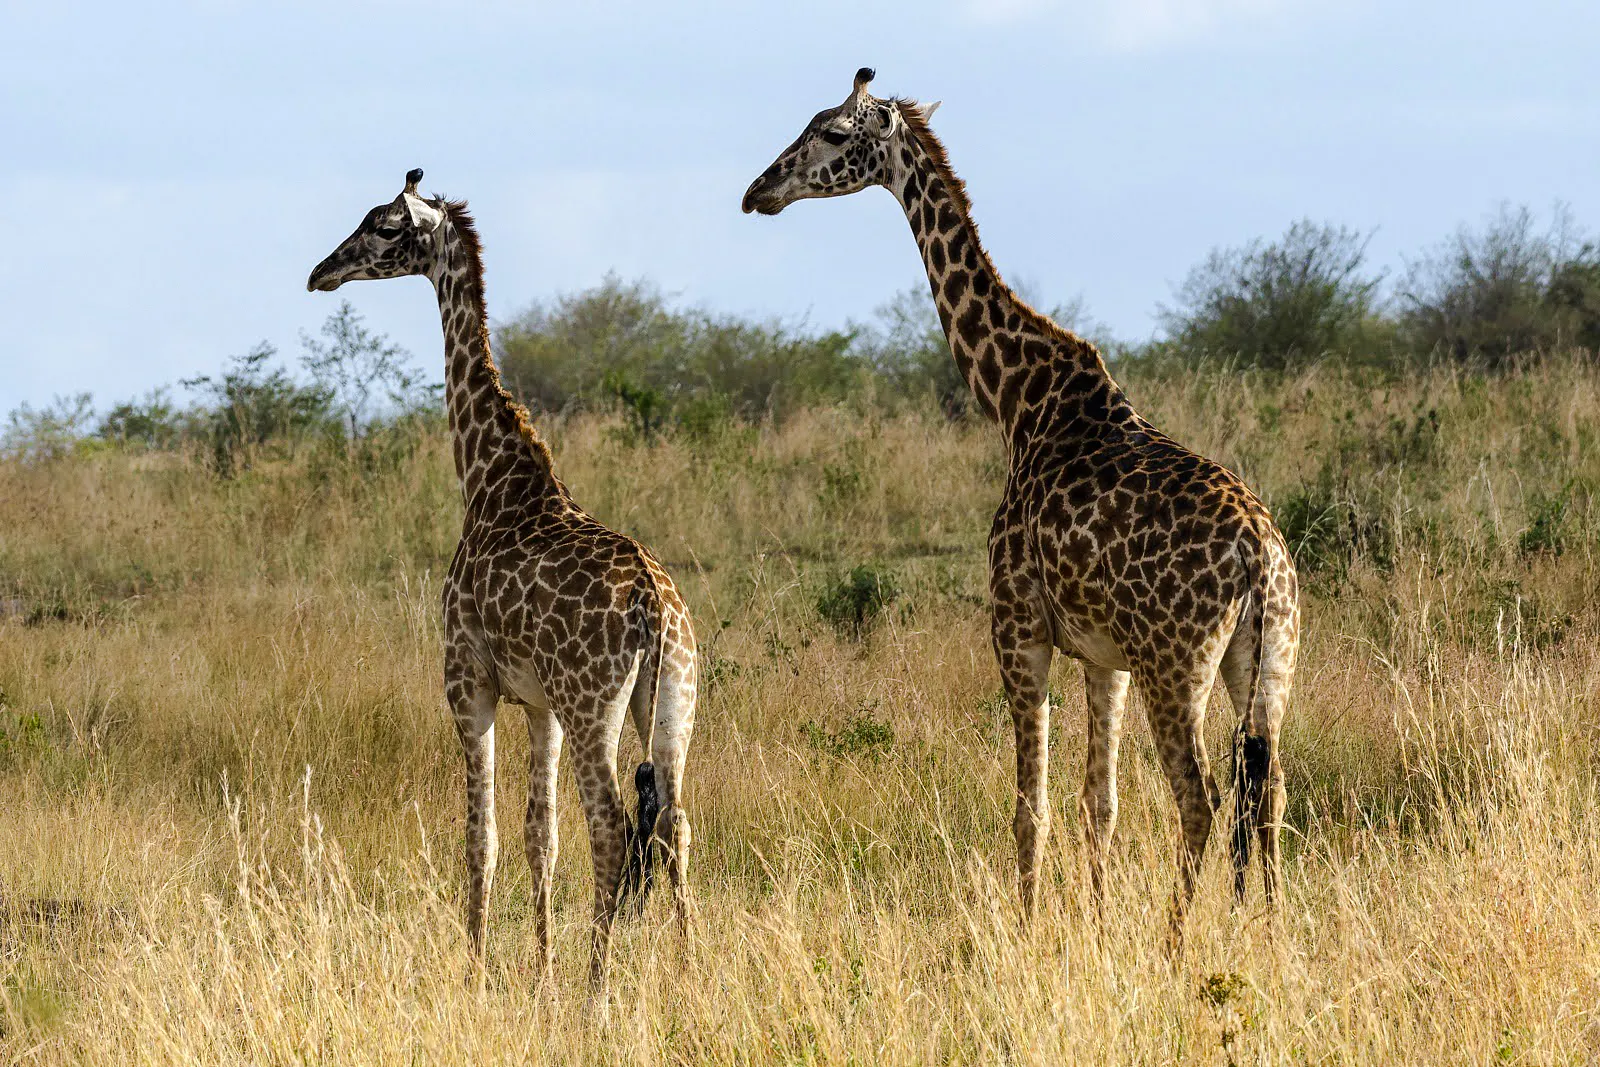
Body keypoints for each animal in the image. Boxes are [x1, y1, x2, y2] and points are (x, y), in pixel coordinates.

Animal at [308, 170, 696, 986]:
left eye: (383, 225)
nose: (322, 271)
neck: (489, 479)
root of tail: (654, 607)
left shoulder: (468, 681)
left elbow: (479, 837)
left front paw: (477, 973)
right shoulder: (538, 704)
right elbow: (537, 839)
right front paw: (539, 972)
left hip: (593, 704)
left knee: (612, 828)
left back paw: (596, 987)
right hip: (673, 697)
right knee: (675, 822)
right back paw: (688, 972)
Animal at [743, 71, 1299, 932]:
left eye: (833, 132)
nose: (758, 191)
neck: (1020, 401)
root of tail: (1260, 558)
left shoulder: (1018, 628)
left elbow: (1028, 807)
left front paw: (1033, 930)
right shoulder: (1105, 656)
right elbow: (1098, 803)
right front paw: (1095, 929)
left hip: (1179, 664)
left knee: (1202, 799)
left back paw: (1177, 946)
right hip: (1266, 664)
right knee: (1267, 795)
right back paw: (1269, 935)